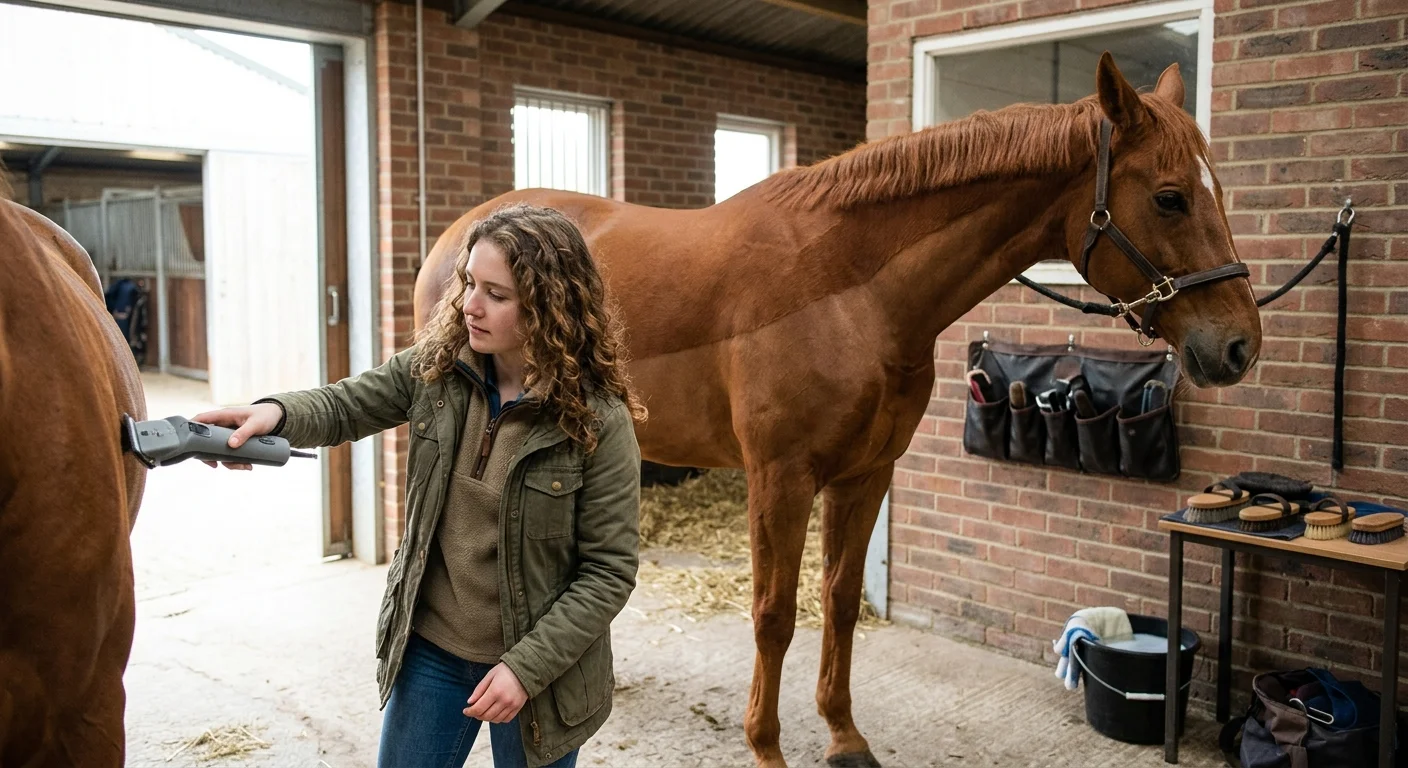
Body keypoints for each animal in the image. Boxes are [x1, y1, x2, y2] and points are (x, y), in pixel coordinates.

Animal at [414, 54, 1261, 768]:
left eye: (1220, 190)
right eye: (1169, 197)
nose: (1239, 346)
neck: (850, 289)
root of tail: (464, 232)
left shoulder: (867, 474)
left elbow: (842, 604)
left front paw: (845, 736)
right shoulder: (780, 479)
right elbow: (774, 615)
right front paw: (765, 745)